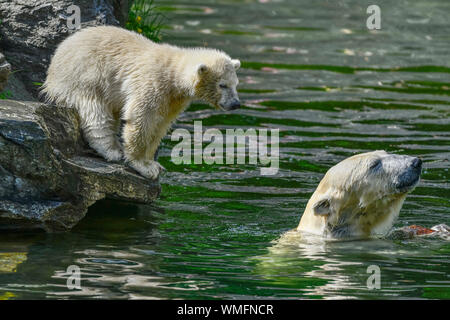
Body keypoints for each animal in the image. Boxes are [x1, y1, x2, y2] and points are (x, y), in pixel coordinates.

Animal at [40, 26, 241, 179]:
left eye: (235, 84)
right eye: (222, 85)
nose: (236, 104)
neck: (172, 74)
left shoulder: (172, 100)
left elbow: (161, 125)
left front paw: (153, 163)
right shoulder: (151, 83)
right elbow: (141, 118)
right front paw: (142, 166)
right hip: (87, 76)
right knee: (95, 111)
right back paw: (111, 150)